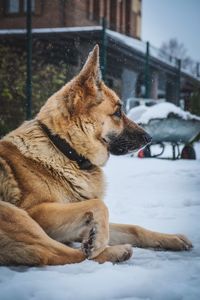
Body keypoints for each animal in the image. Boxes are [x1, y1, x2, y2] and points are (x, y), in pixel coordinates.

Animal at [0, 44, 192, 264]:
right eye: (117, 113)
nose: (149, 138)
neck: (65, 150)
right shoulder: (37, 211)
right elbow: (100, 205)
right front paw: (98, 242)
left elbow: (132, 227)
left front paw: (172, 238)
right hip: (15, 213)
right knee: (60, 254)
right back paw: (114, 251)